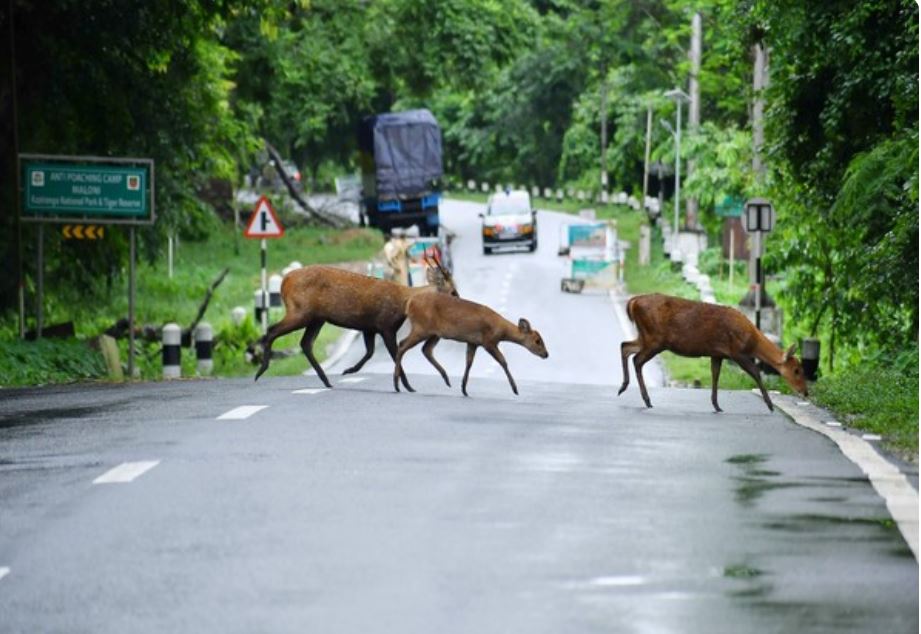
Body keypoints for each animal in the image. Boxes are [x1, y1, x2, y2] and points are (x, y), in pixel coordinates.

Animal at [252, 254, 456, 388]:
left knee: (305, 343)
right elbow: (394, 354)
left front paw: (348, 370)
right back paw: (261, 370)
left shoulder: (370, 327)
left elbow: (370, 353)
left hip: (316, 318)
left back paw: (326, 380)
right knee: (272, 330)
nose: (459, 299)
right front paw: (407, 386)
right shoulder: (386, 325)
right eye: (453, 291)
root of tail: (284, 281)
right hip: (300, 311)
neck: (404, 303)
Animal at [394, 292, 548, 396]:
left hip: (434, 333)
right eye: (537, 341)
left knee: (425, 349)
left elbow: (469, 363)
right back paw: (398, 384)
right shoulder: (488, 341)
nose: (546, 354)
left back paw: (445, 379)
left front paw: (464, 388)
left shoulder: (473, 342)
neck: (501, 329)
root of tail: (409, 303)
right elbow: (503, 362)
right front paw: (515, 389)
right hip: (422, 327)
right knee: (402, 345)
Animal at [620, 292, 804, 410]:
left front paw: (716, 405)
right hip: (655, 339)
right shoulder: (737, 352)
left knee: (625, 346)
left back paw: (624, 387)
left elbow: (715, 375)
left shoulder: (717, 354)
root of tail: (633, 302)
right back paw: (646, 399)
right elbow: (756, 372)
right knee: (636, 359)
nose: (805, 391)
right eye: (796, 370)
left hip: (646, 337)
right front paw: (770, 405)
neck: (752, 341)